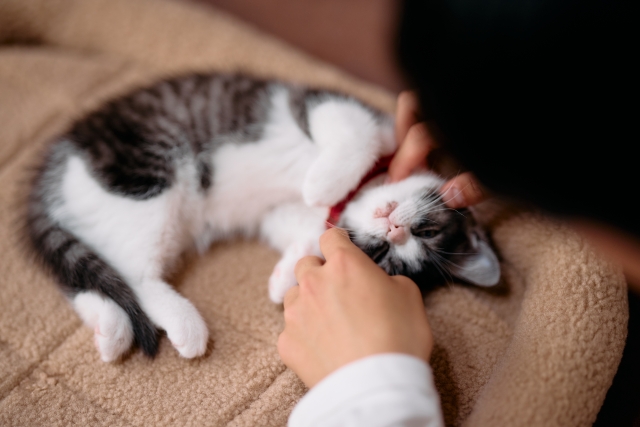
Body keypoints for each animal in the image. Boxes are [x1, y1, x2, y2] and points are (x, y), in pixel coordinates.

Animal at [28, 74, 500, 364]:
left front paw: (284, 275)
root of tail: (55, 164)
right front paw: (322, 181)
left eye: (383, 255)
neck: (361, 190)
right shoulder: (330, 106)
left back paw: (113, 331)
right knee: (131, 271)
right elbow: (354, 133)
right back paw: (181, 324)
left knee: (98, 273)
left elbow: (307, 230)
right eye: (426, 229)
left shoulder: (282, 215)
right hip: (144, 177)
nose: (394, 228)